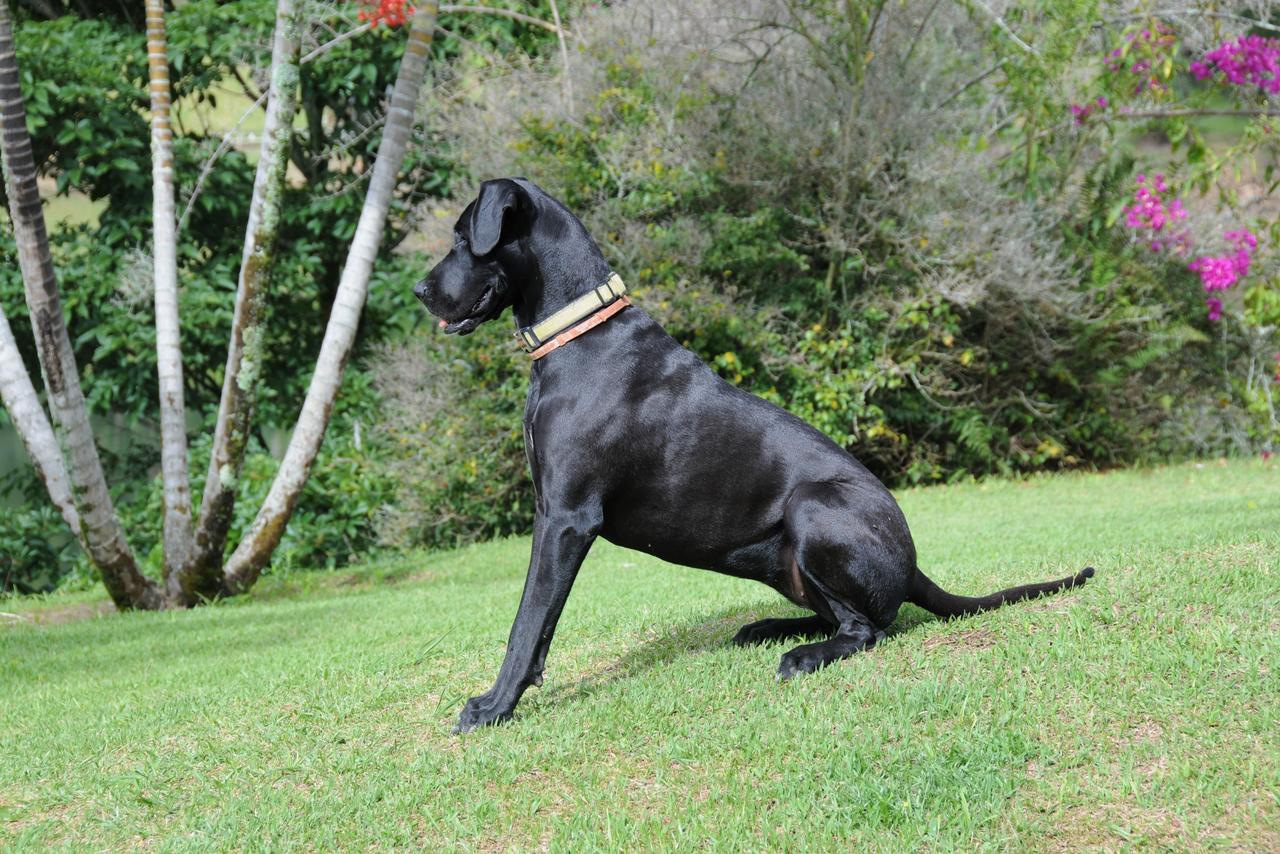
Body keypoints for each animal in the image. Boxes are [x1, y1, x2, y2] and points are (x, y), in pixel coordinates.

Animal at [414, 176, 1095, 732]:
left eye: (463, 237)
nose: (421, 290)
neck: (575, 334)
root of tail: (913, 564)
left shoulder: (565, 517)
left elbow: (527, 622)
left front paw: (493, 706)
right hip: (784, 561)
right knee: (843, 616)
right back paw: (768, 629)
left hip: (814, 508)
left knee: (869, 628)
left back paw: (802, 654)